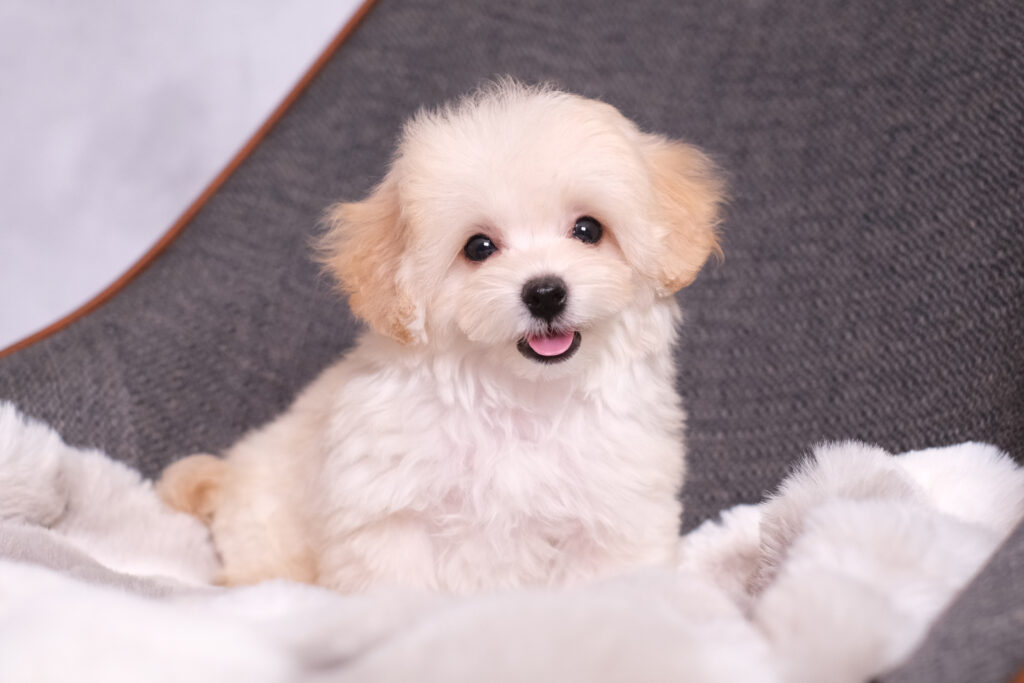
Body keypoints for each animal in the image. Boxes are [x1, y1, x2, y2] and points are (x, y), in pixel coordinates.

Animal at [158, 80, 724, 594]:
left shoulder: (616, 515)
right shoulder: (390, 515)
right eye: (478, 247)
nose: (545, 293)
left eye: (588, 230)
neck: (522, 400)